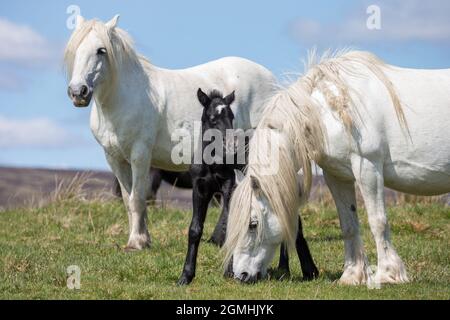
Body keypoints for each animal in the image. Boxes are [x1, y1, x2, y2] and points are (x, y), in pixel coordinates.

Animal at [62, 15, 274, 250]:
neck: (123, 99)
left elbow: (138, 197)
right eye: (74, 49)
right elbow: (128, 199)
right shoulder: (114, 158)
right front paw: (142, 239)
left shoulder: (140, 155)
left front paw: (136, 242)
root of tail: (270, 79)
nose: (78, 92)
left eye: (101, 50)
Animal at [225, 49, 450, 284]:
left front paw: (388, 274)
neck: (331, 112)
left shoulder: (368, 168)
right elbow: (348, 224)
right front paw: (352, 276)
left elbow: (378, 221)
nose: (240, 275)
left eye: (253, 224)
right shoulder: (337, 176)